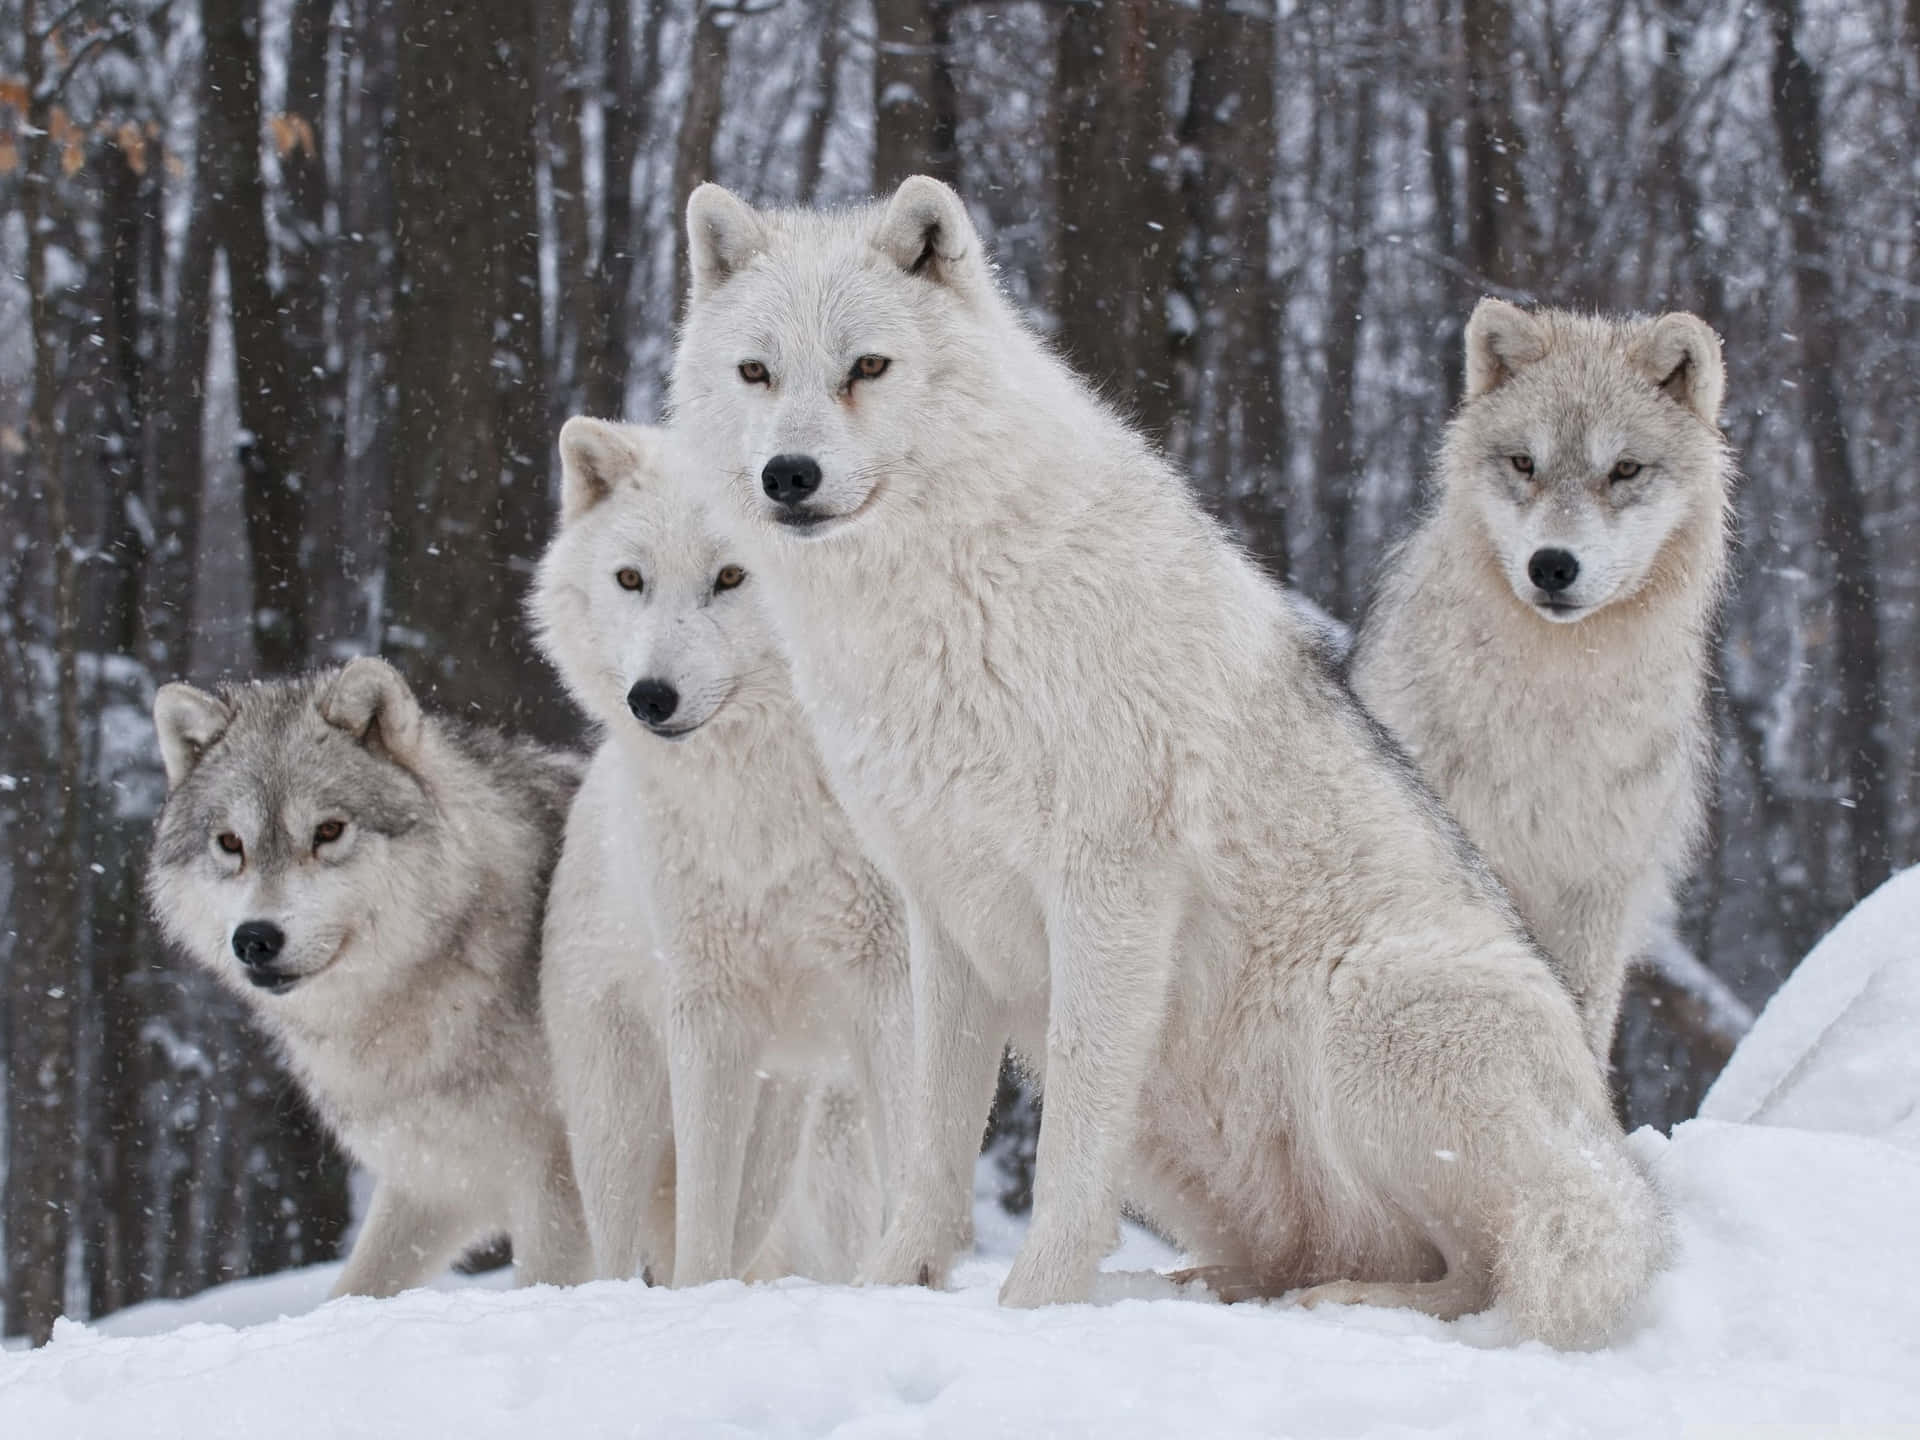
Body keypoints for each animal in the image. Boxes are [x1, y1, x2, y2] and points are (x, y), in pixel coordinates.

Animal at [148, 660, 587, 1305]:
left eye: (328, 831)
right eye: (231, 844)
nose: (255, 939)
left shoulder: (560, 1181)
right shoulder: (436, 1180)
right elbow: (355, 1289)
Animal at [529, 414, 910, 1282]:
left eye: (734, 575)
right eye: (630, 579)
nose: (650, 699)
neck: (769, 801)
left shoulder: (893, 985)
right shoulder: (708, 1008)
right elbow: (702, 1217)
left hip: (791, 1126)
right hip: (621, 1117)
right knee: (622, 1249)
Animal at [668, 174, 1658, 1351]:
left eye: (867, 367)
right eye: (757, 372)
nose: (790, 475)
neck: (942, 603)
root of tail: (1610, 1152)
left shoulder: (1109, 891)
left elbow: (1067, 1152)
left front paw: (1034, 1308)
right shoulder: (941, 913)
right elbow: (933, 1145)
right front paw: (891, 1288)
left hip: (1370, 1013)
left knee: (1484, 1269)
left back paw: (1343, 1306)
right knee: (1319, 1254)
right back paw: (1210, 1290)